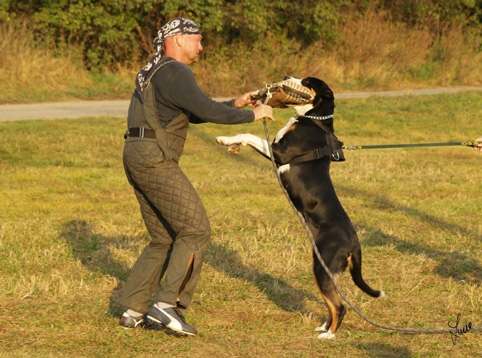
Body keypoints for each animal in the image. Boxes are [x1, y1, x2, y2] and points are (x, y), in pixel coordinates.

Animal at [217, 77, 386, 340]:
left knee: (339, 306)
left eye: (307, 82)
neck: (313, 120)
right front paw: (231, 145)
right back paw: (324, 328)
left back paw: (328, 336)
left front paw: (225, 139)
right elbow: (246, 137)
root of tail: (355, 242)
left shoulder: (279, 152)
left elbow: (248, 134)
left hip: (322, 269)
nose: (286, 77)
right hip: (323, 270)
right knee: (332, 305)